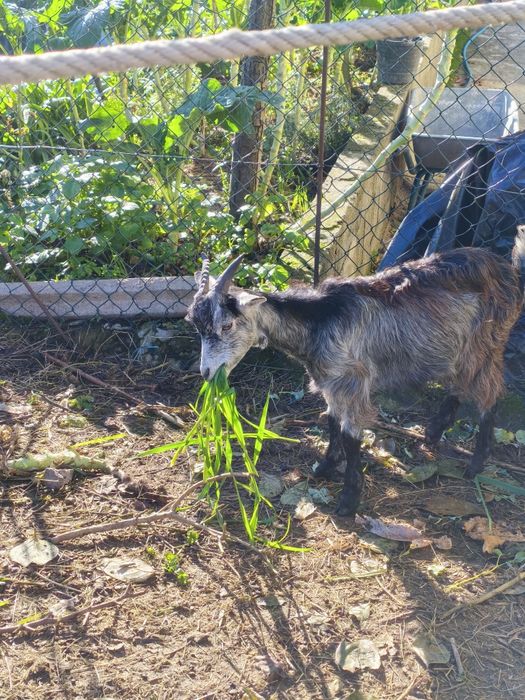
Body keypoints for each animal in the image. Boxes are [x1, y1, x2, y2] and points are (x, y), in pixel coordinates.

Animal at [185, 229, 525, 517]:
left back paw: (477, 462)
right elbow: (331, 421)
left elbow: (351, 435)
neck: (319, 320)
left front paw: (349, 499)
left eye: (227, 325)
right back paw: (433, 431)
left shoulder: (352, 380)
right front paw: (325, 466)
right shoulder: (331, 381)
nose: (207, 372)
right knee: (459, 384)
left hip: (486, 342)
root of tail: (510, 271)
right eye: (196, 327)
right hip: (455, 348)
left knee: (489, 393)